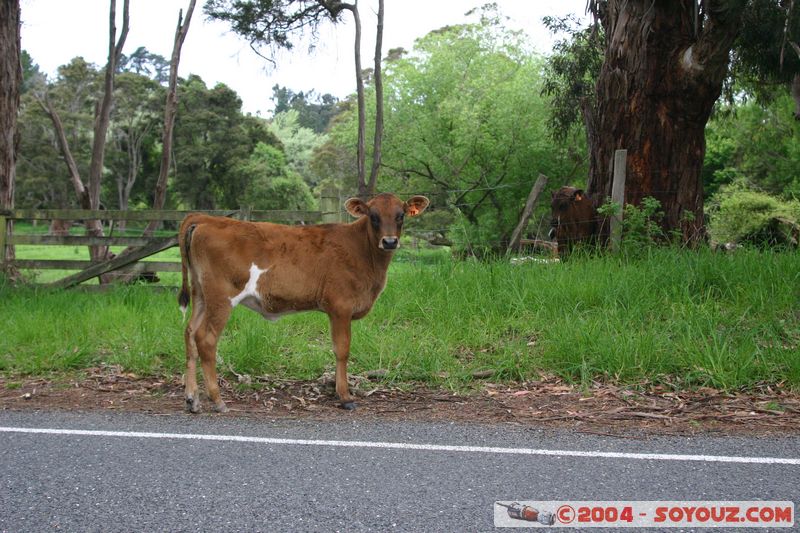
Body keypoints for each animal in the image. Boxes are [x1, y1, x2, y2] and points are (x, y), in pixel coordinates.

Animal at [174, 193, 424, 414]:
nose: (390, 242)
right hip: (221, 297)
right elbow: (342, 349)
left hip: (200, 294)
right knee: (206, 339)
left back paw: (192, 399)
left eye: (401, 215)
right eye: (373, 215)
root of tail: (206, 218)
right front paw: (344, 397)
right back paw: (217, 400)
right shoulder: (340, 306)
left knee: (189, 333)